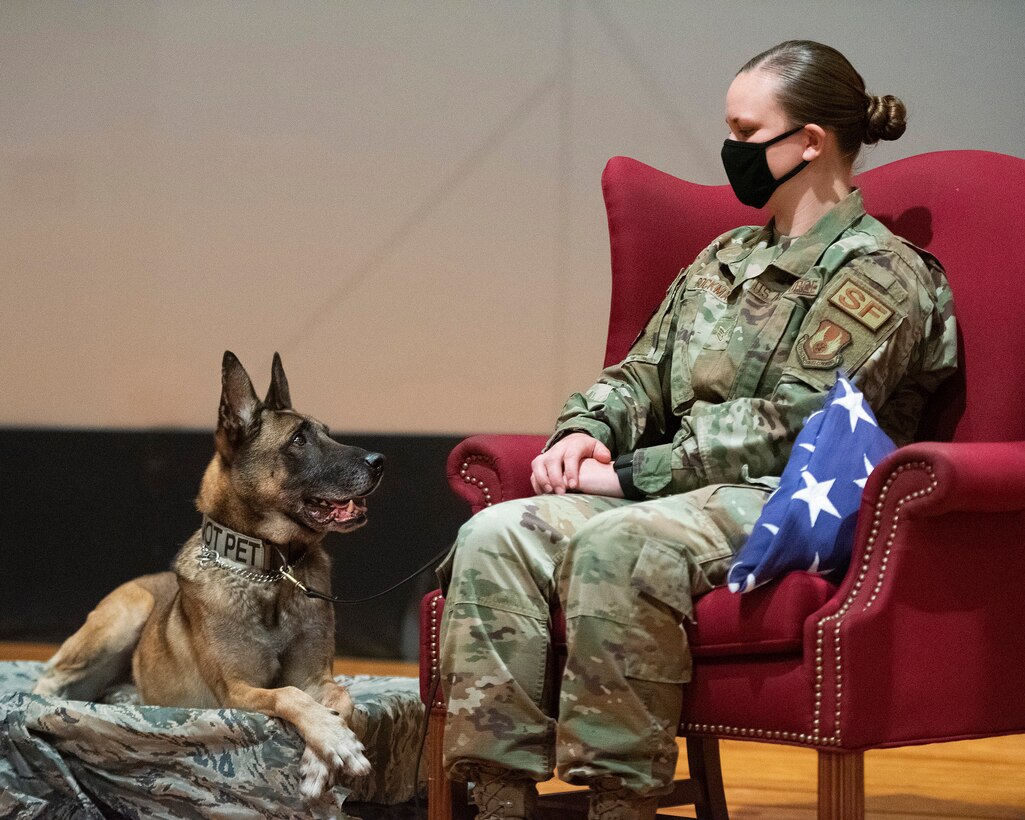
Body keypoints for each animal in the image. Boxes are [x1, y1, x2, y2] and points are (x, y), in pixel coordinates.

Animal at [34, 348, 385, 799]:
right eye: (298, 440)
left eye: (328, 433)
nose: (380, 462)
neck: (271, 573)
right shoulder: (237, 690)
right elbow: (288, 695)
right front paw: (334, 740)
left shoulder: (316, 677)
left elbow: (340, 697)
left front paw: (321, 756)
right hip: (125, 614)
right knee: (47, 679)